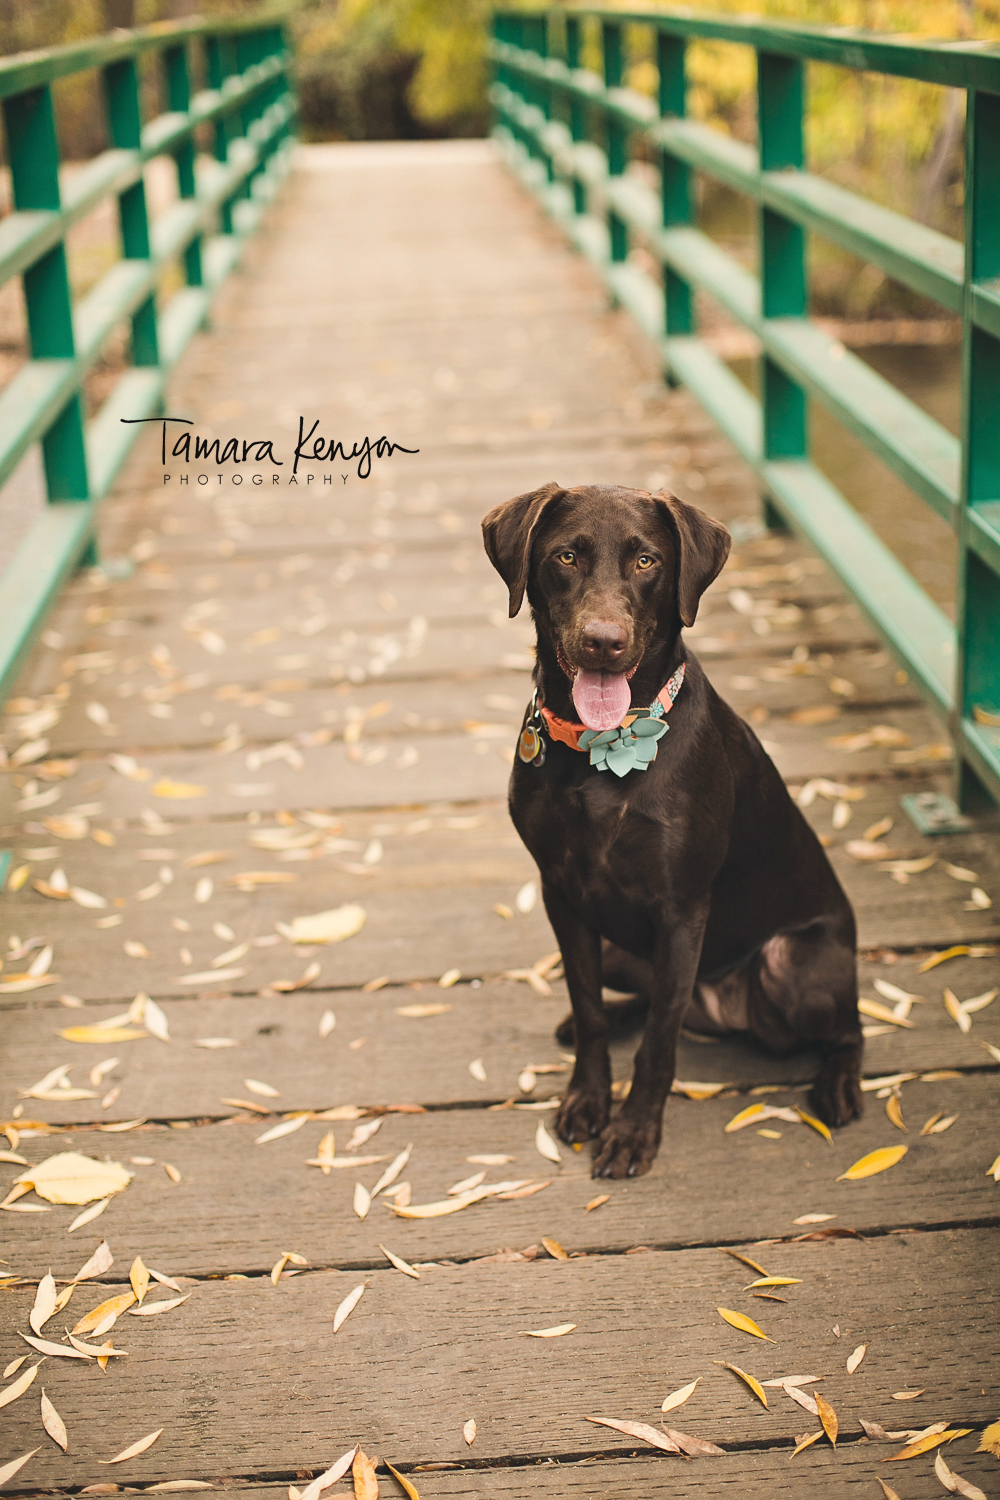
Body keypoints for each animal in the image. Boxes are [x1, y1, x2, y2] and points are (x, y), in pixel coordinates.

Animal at [479, 486, 863, 1176]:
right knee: (643, 998)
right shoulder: (562, 896)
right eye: (566, 556)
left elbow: (658, 1043)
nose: (604, 641)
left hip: (793, 965)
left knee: (847, 1029)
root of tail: (724, 1009)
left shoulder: (682, 909)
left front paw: (633, 1133)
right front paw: (588, 1097)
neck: (602, 749)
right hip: (621, 951)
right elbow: (591, 1009)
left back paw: (839, 1084)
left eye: (647, 561)